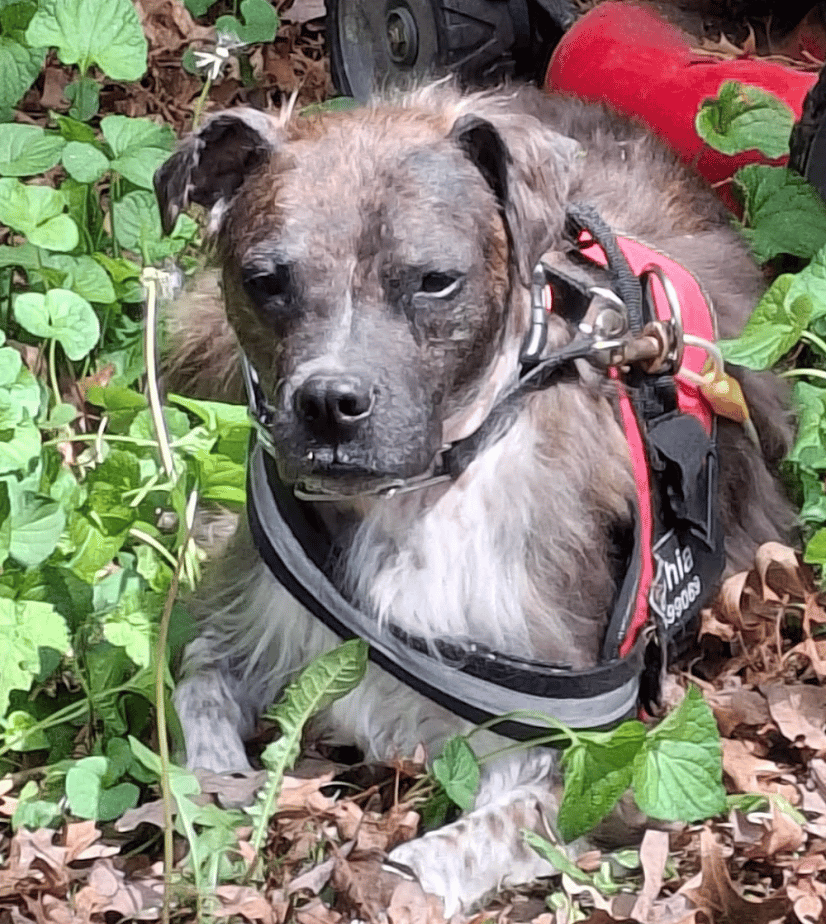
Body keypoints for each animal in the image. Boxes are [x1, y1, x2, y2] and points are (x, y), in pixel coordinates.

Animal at [155, 83, 795, 915]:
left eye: (435, 281)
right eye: (267, 281)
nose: (329, 403)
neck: (418, 503)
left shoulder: (599, 763)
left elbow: (459, 843)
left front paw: (391, 880)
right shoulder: (250, 624)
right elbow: (197, 684)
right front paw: (218, 795)